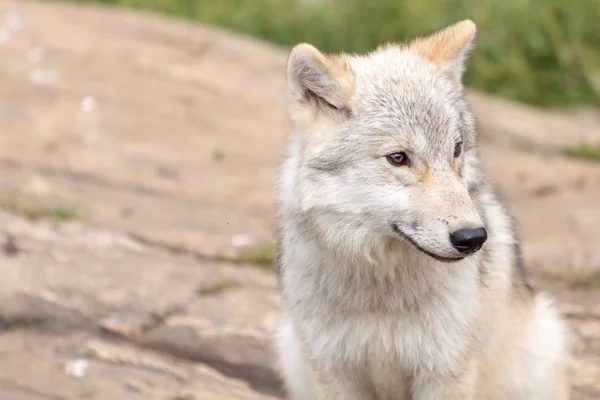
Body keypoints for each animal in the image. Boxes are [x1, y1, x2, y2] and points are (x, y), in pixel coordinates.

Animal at [274, 20, 568, 400]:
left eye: (456, 150)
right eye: (398, 158)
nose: (473, 238)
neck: (380, 290)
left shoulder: (443, 371)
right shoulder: (335, 372)